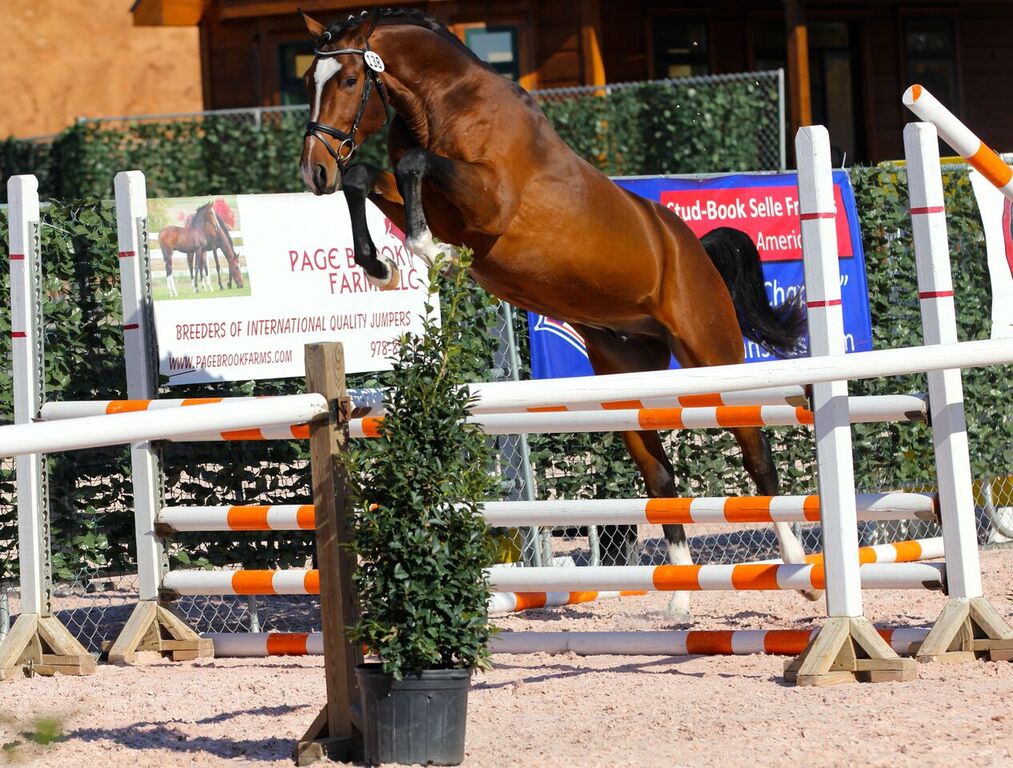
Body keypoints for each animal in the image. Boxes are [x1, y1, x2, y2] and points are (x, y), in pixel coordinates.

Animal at [298, 8, 815, 620]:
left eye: (350, 80)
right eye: (307, 81)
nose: (314, 174)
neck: (439, 103)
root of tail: (694, 247)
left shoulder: (488, 201)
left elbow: (414, 166)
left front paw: (430, 255)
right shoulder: (425, 195)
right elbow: (371, 177)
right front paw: (382, 268)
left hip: (712, 357)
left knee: (758, 456)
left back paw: (800, 571)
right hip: (623, 374)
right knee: (661, 478)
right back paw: (680, 599)